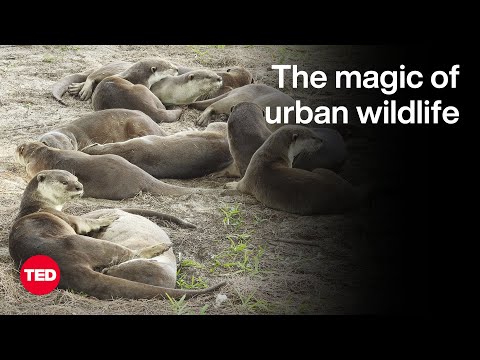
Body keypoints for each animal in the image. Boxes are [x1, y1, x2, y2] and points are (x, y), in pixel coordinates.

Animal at [8, 170, 227, 300]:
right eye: (64, 182)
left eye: (76, 179)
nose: (79, 187)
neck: (38, 205)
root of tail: (66, 266)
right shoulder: (68, 218)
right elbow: (85, 223)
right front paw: (109, 217)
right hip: (81, 243)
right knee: (127, 254)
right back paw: (159, 248)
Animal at [227, 125, 362, 215]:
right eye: (313, 137)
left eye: (314, 132)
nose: (322, 140)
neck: (270, 156)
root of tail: (350, 194)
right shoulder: (247, 178)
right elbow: (239, 185)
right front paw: (229, 185)